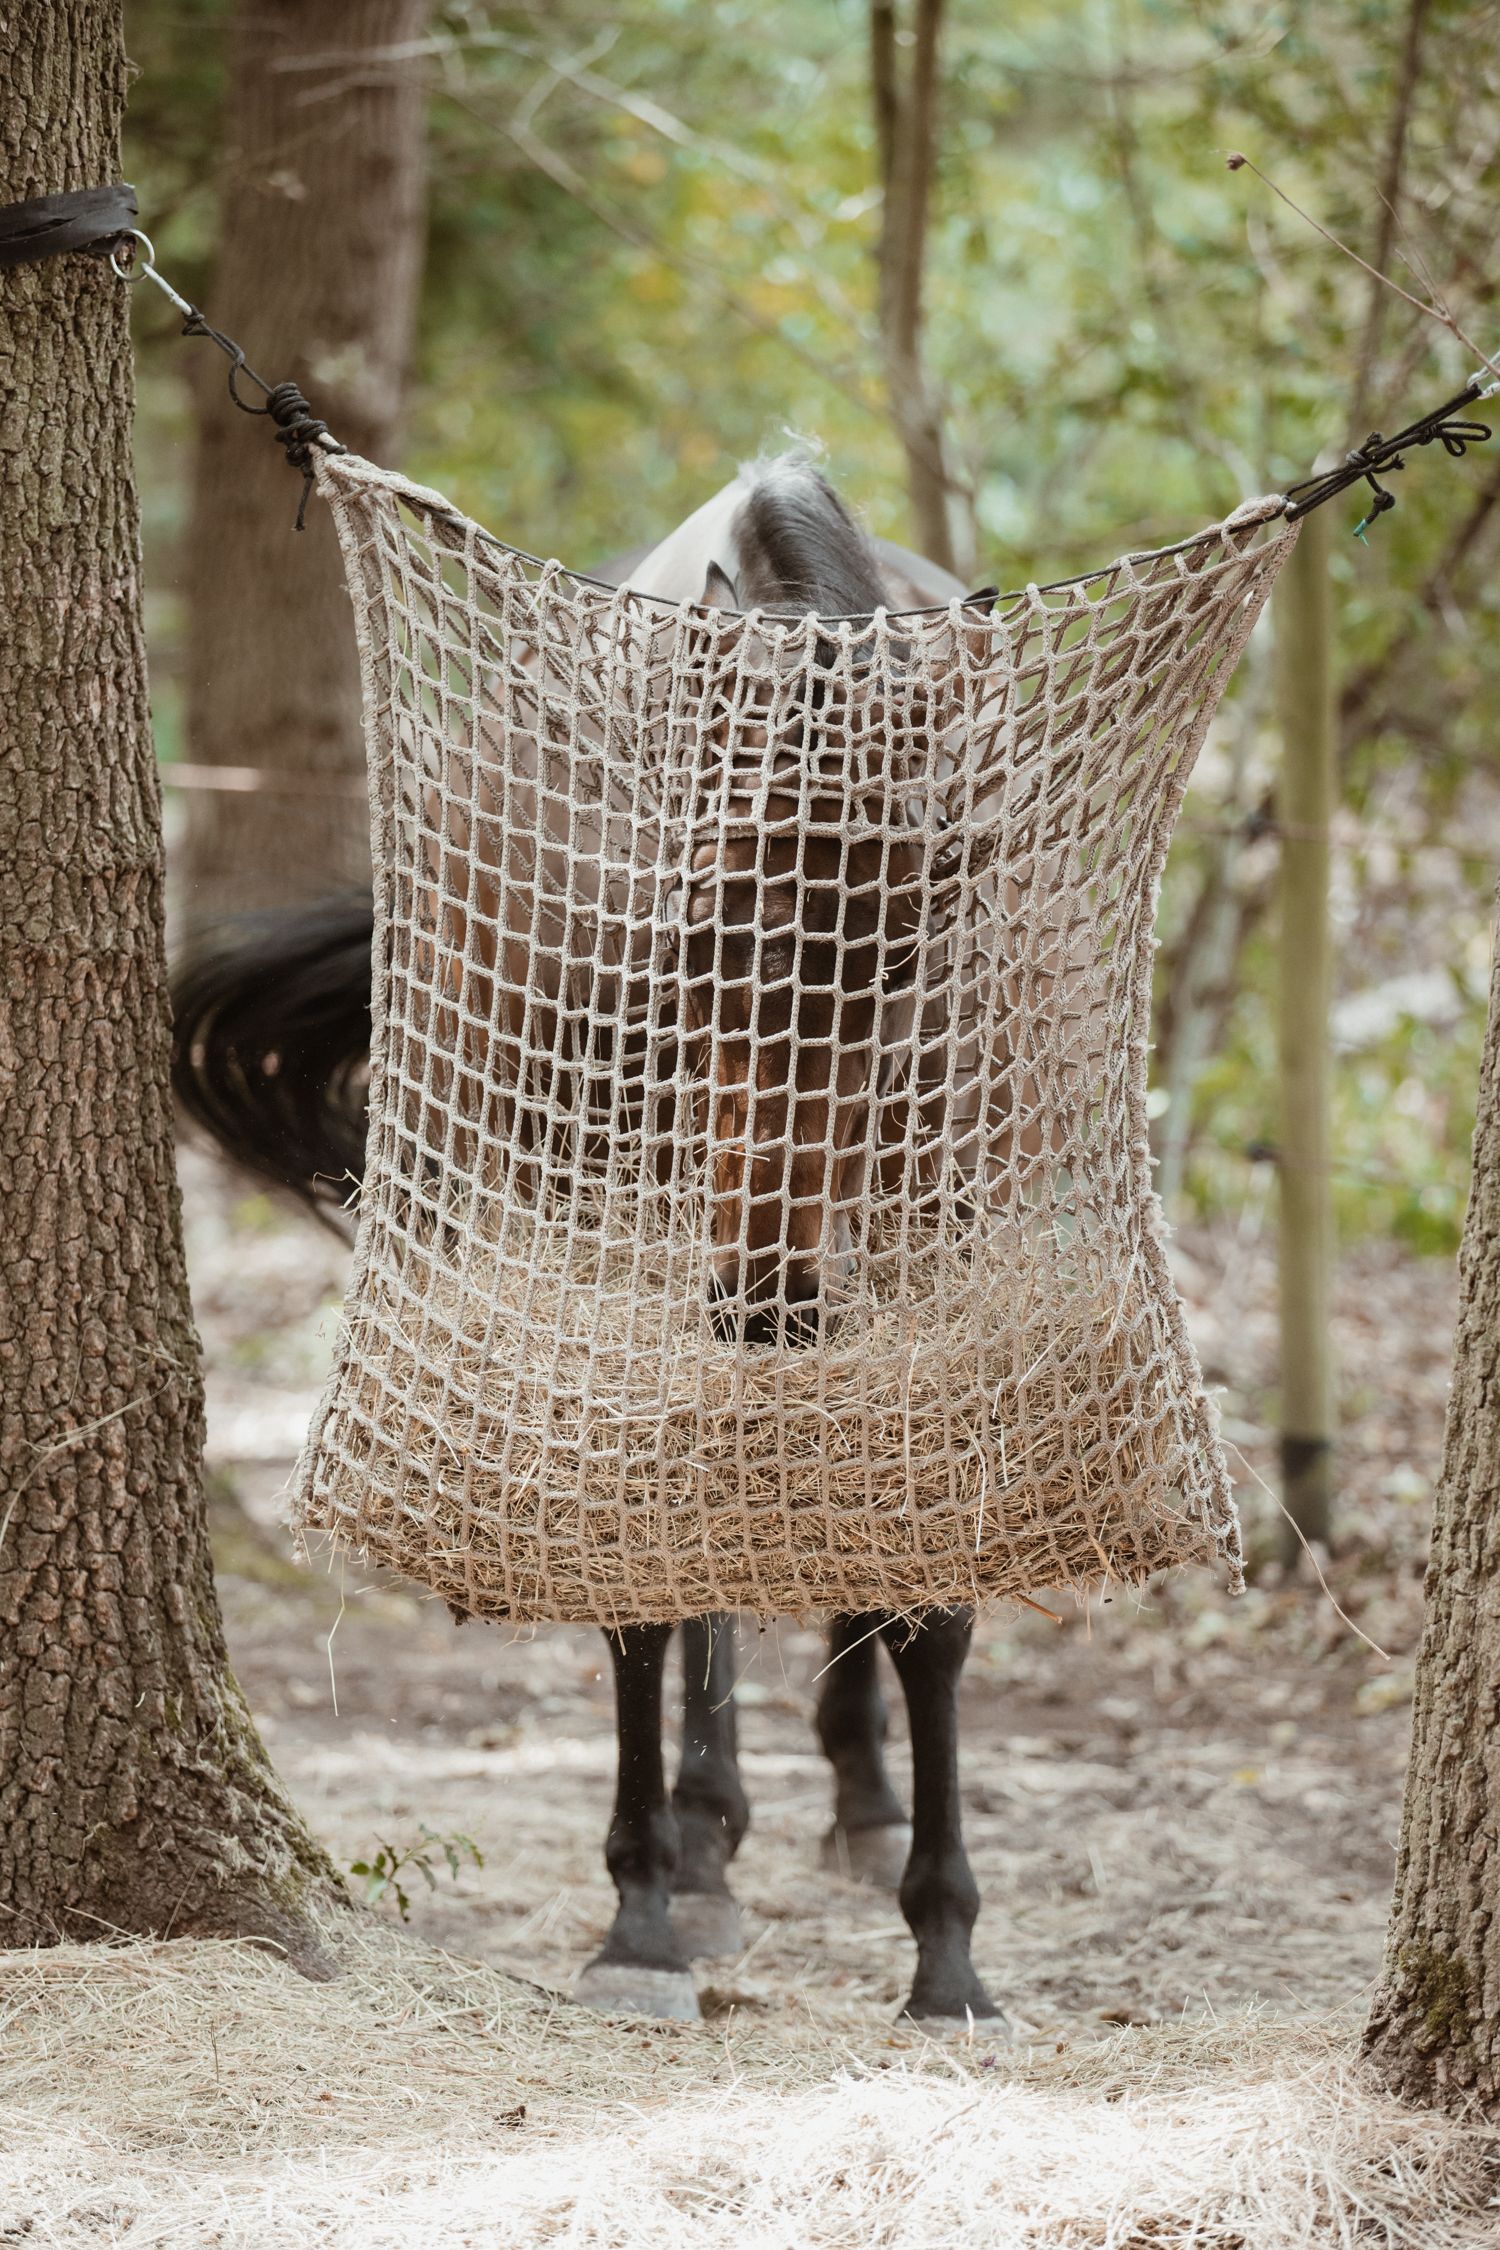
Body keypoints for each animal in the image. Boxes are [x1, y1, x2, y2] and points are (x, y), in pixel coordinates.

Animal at [170, 452, 1003, 2028]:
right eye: (695, 915)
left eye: (906, 932)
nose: (772, 1290)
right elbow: (638, 1590)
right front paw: (646, 1912)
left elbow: (927, 1592)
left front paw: (947, 1945)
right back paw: (708, 1827)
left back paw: (851, 1794)